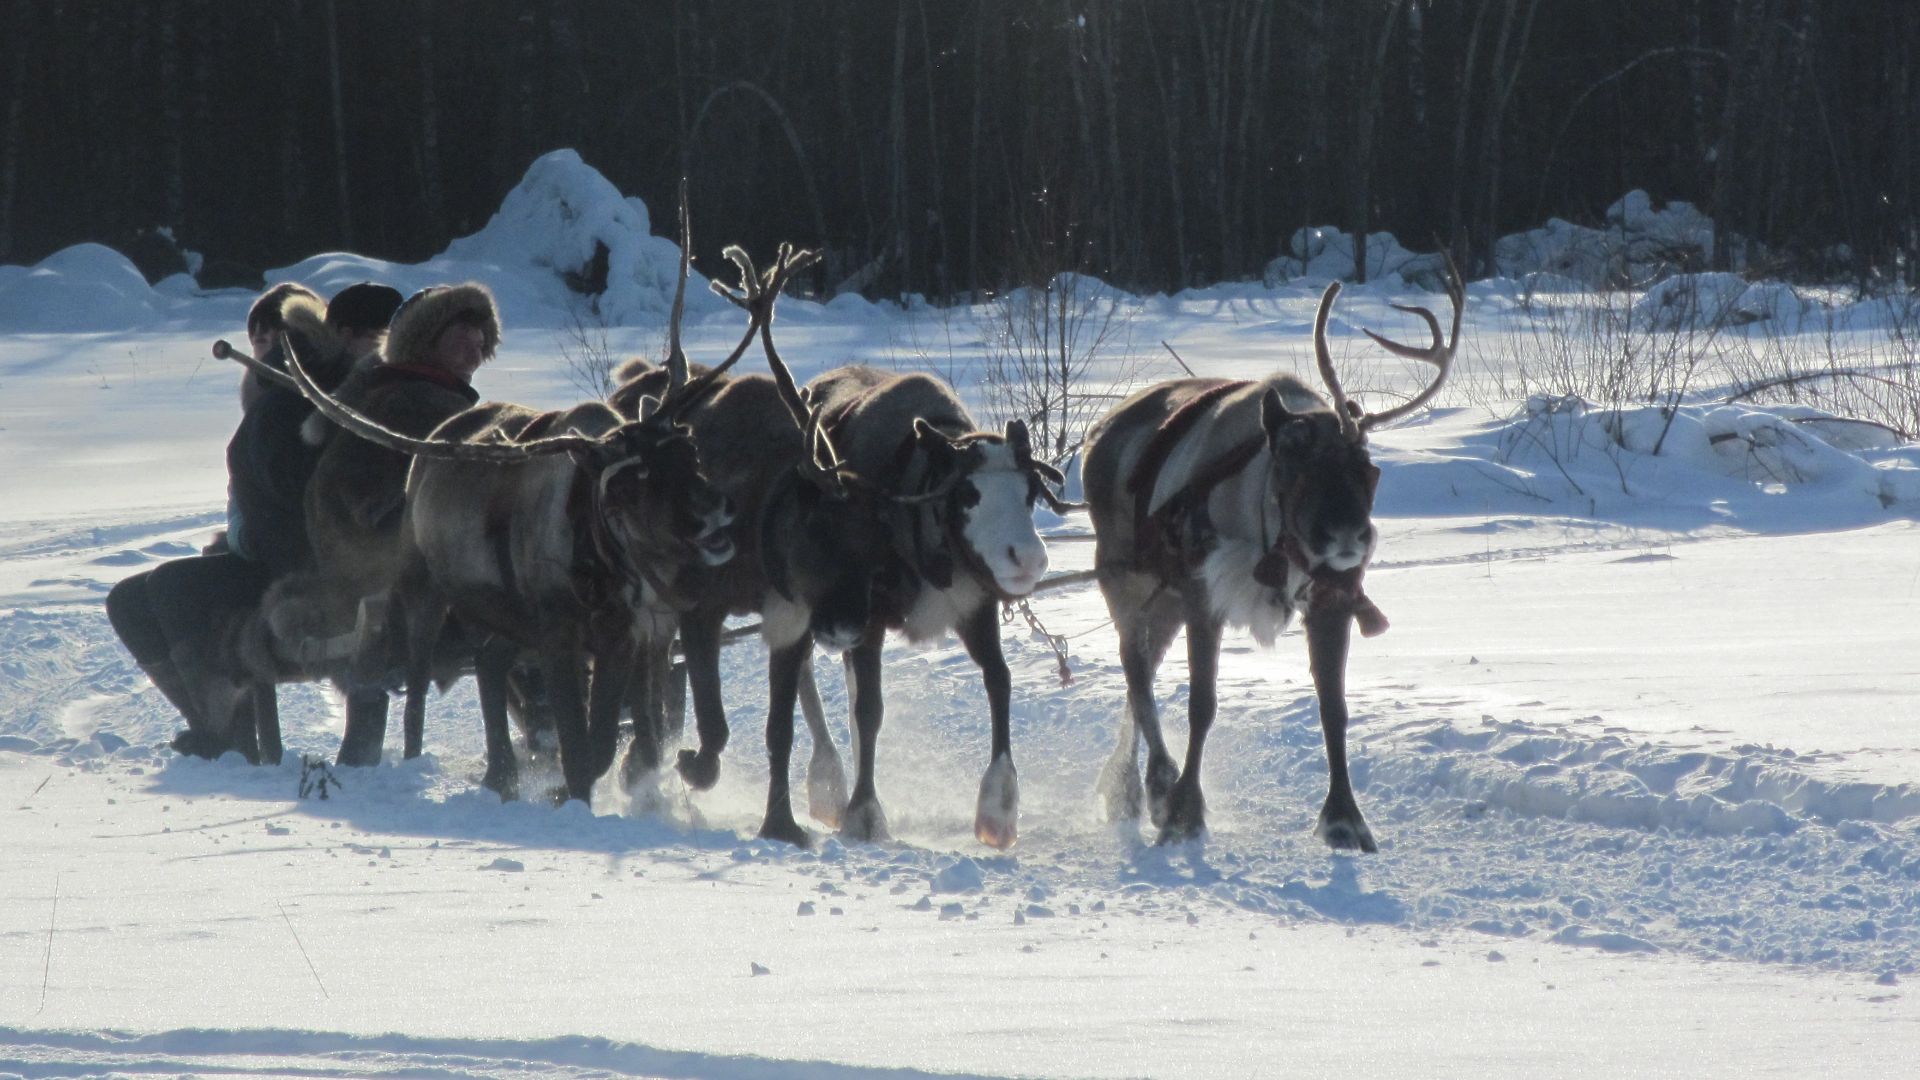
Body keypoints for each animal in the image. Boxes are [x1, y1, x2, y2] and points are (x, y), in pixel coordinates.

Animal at [1080, 261, 1461, 851]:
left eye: (1367, 464)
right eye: (1289, 460)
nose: (1348, 536)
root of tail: (1098, 433)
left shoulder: (1331, 599)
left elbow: (1334, 709)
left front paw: (1346, 820)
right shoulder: (1204, 594)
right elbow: (1202, 704)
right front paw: (1186, 812)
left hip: (1161, 600)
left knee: (1138, 668)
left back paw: (1126, 788)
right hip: (1121, 575)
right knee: (1135, 667)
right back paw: (1156, 785)